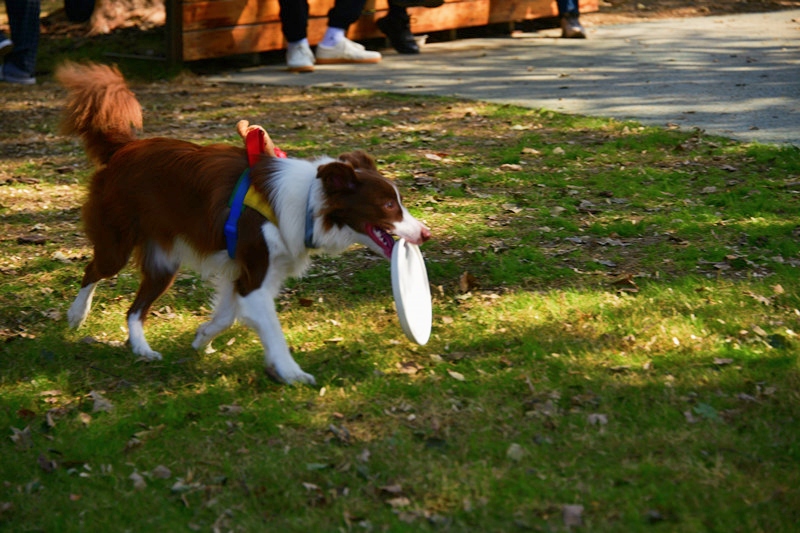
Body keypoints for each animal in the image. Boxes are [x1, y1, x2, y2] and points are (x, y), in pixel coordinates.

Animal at [56, 62, 432, 384]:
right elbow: (271, 329)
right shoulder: (255, 276)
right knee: (93, 270)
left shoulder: (250, 272)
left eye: (399, 202)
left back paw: (142, 349)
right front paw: (292, 372)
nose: (426, 233)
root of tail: (125, 148)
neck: (309, 204)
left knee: (134, 310)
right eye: (388, 205)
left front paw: (202, 338)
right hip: (117, 242)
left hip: (164, 261)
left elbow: (226, 314)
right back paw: (77, 315)